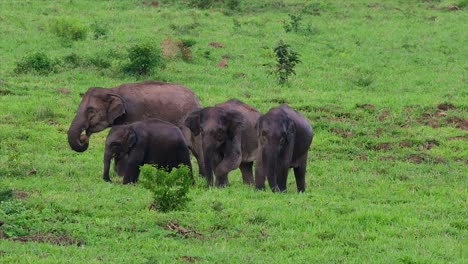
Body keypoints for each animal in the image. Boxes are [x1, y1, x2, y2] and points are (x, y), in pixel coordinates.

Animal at [67, 80, 205, 174]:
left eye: (90, 110)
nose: (84, 137)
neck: (112, 91)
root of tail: (196, 98)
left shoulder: (132, 114)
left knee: (196, 148)